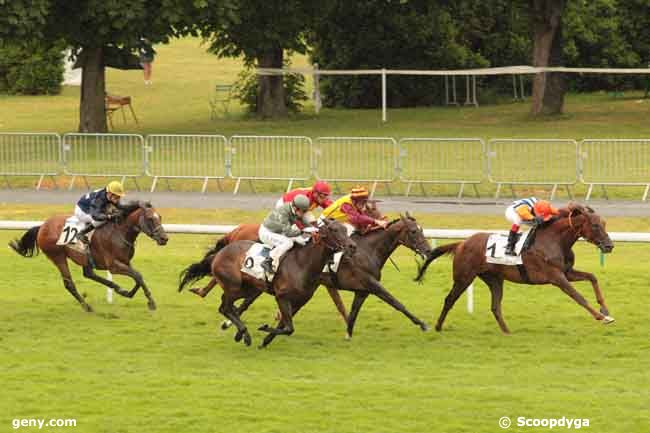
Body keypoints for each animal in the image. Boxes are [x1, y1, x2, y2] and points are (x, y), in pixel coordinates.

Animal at [9, 202, 168, 310]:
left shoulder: (125, 262)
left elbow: (137, 276)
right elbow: (138, 275)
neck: (119, 232)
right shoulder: (113, 265)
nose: (164, 238)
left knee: (89, 274)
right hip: (58, 256)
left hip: (85, 258)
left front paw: (128, 292)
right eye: (150, 218)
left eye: (160, 217)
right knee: (69, 283)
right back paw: (87, 306)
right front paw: (150, 302)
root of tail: (42, 226)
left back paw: (116, 288)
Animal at [176, 219, 354, 348]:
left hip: (248, 288)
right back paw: (244, 334)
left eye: (346, 230)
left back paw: (240, 333)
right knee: (225, 307)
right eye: (334, 230)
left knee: (228, 306)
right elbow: (288, 328)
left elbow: (285, 326)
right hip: (234, 286)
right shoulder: (282, 297)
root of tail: (219, 254)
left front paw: (265, 341)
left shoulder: (299, 301)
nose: (352, 246)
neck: (302, 263)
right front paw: (263, 329)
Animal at [416, 203, 612, 334]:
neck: (555, 240)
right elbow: (578, 296)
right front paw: (601, 317)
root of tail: (461, 243)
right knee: (449, 299)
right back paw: (438, 327)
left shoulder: (567, 272)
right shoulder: (556, 276)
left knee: (495, 306)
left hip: (494, 279)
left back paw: (507, 332)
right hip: (464, 277)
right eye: (595, 225)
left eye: (604, 224)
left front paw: (605, 310)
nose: (609, 246)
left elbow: (592, 277)